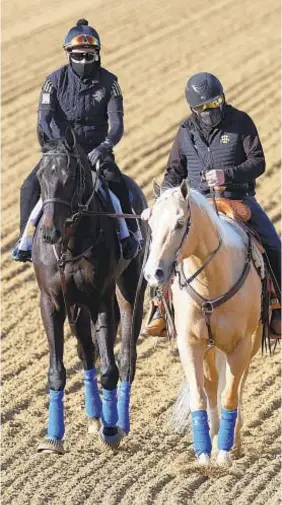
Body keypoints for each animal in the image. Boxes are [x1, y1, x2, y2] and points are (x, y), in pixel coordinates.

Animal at [32, 130, 148, 452]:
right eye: (41, 176)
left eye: (71, 176)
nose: (49, 233)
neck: (71, 246)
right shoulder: (53, 303)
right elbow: (58, 371)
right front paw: (53, 438)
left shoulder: (100, 299)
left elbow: (110, 369)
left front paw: (110, 431)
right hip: (76, 308)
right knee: (86, 351)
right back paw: (95, 417)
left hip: (130, 289)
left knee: (126, 357)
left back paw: (118, 423)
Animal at [144, 180, 264, 464]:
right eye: (151, 222)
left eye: (180, 223)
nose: (153, 273)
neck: (212, 280)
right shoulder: (190, 344)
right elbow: (199, 397)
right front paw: (203, 454)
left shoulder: (240, 346)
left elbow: (230, 395)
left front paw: (224, 454)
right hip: (210, 347)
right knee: (211, 385)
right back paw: (214, 433)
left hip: (251, 343)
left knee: (238, 384)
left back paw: (233, 439)